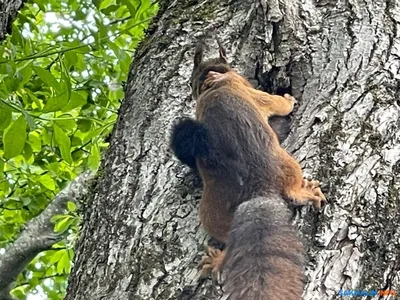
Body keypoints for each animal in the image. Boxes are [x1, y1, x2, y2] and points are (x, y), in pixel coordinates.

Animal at [169, 40, 324, 300]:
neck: (213, 83)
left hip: (212, 213)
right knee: (291, 190)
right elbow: (277, 104)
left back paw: (218, 261)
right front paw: (289, 99)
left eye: (191, 81)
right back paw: (306, 192)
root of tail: (257, 192)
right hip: (288, 163)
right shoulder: (253, 93)